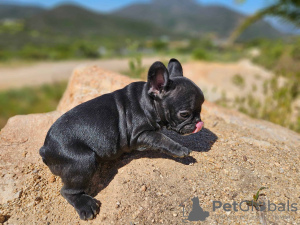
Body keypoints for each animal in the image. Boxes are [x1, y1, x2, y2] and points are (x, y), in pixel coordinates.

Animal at [39, 58, 204, 220]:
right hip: (82, 162)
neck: (148, 101)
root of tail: (45, 149)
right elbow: (162, 138)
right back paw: (85, 205)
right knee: (68, 191)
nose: (199, 122)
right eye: (184, 114)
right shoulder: (141, 134)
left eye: (201, 109)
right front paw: (180, 149)